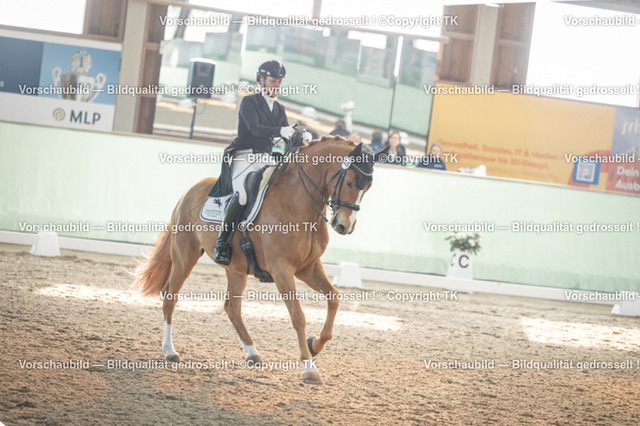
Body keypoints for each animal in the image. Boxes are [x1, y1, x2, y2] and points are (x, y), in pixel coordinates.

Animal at [134, 135, 386, 384]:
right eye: (350, 183)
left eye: (368, 187)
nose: (344, 226)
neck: (299, 204)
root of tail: (190, 191)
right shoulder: (281, 269)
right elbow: (298, 316)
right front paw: (309, 368)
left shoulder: (308, 267)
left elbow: (334, 298)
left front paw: (315, 344)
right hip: (184, 257)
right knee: (170, 297)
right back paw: (170, 351)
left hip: (235, 267)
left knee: (232, 307)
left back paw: (253, 353)